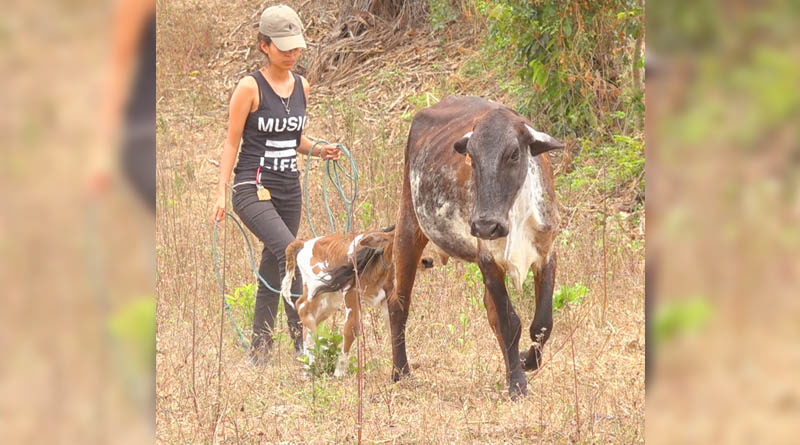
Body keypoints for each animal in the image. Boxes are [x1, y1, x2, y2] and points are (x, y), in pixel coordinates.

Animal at [280, 225, 434, 374]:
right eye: (399, 241)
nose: (427, 261)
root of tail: (305, 243)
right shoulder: (351, 293)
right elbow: (351, 328)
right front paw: (340, 370)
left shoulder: (387, 298)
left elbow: (393, 324)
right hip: (315, 288)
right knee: (302, 307)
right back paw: (312, 361)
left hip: (329, 298)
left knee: (311, 318)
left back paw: (308, 360)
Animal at [390, 95, 564, 398]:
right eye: (472, 157)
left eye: (513, 154)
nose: (485, 225)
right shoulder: (488, 261)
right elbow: (510, 323)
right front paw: (517, 383)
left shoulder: (546, 254)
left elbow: (542, 323)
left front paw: (525, 362)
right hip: (409, 224)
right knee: (398, 303)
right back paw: (401, 371)